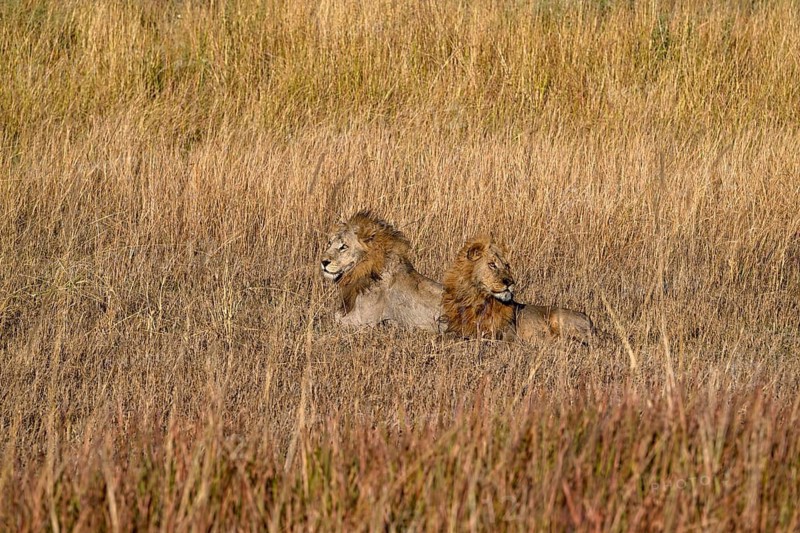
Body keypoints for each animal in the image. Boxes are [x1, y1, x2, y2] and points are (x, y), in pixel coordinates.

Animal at [441, 236, 595, 343]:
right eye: (492, 264)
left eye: (507, 266)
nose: (510, 282)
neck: (476, 298)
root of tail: (590, 320)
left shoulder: (509, 335)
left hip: (560, 318)